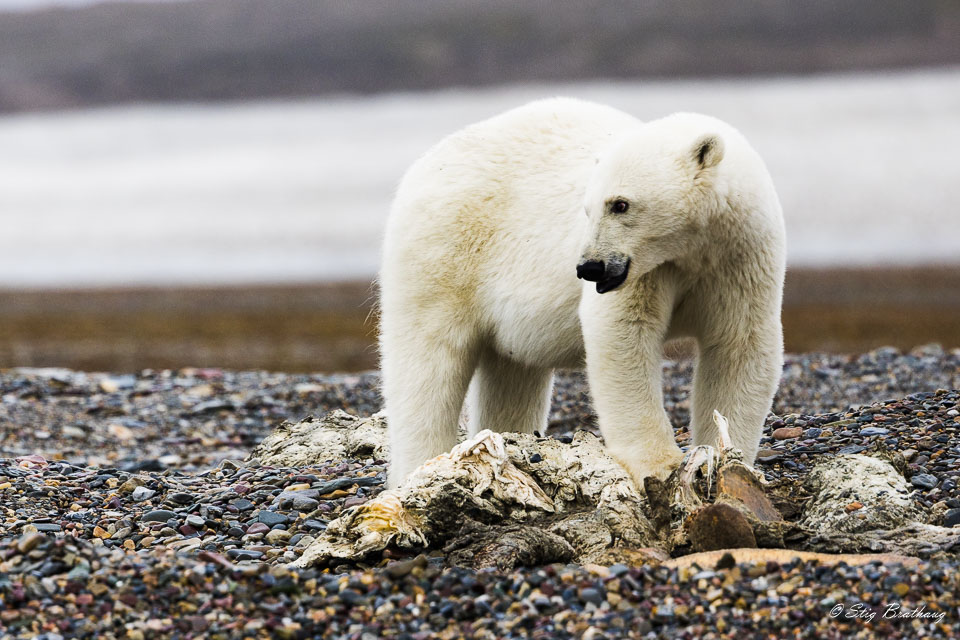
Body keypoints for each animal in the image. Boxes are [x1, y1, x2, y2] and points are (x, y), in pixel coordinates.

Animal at [378, 99, 784, 490]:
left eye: (620, 203)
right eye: (587, 209)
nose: (590, 268)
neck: (694, 249)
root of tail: (424, 164)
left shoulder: (738, 258)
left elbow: (739, 344)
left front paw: (725, 457)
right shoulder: (647, 272)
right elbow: (622, 333)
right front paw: (659, 464)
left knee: (510, 371)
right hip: (445, 251)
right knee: (428, 362)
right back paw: (420, 466)